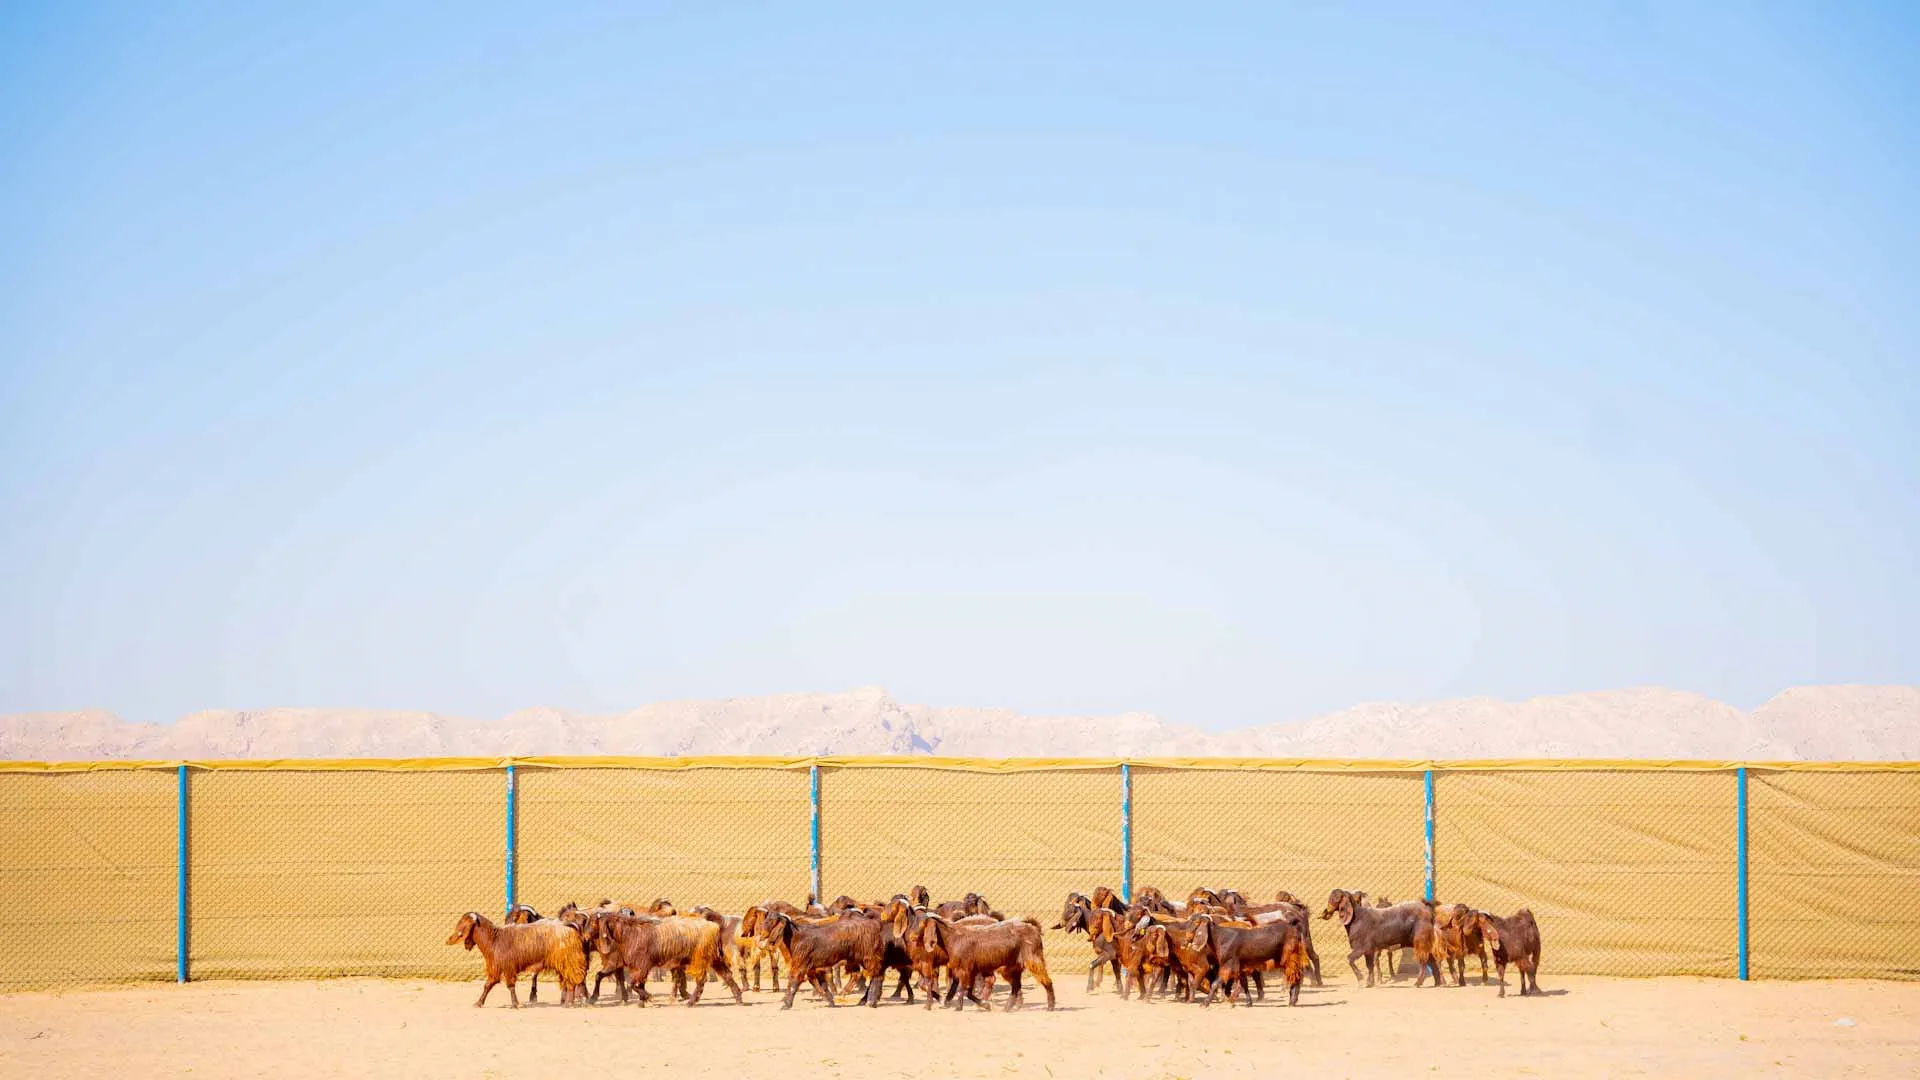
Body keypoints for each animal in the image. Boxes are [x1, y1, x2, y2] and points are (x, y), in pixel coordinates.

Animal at [447, 910, 583, 1006]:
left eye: (463, 922)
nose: (448, 940)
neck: (494, 939)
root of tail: (569, 927)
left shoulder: (508, 968)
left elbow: (510, 986)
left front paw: (514, 1004)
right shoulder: (495, 968)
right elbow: (488, 985)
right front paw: (479, 1003)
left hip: (569, 962)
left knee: (572, 981)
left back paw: (570, 1003)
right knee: (568, 982)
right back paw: (567, 1002)